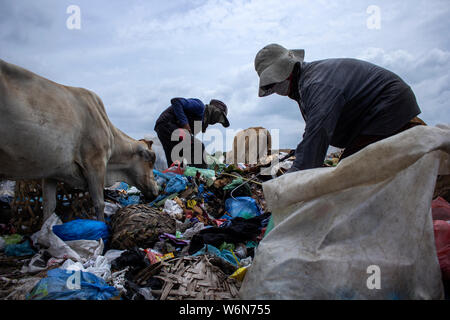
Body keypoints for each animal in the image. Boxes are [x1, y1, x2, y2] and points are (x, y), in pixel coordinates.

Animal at [0, 58, 159, 221]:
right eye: (151, 160)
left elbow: (49, 207)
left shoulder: (51, 173)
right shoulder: (95, 164)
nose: (157, 190)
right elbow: (99, 204)